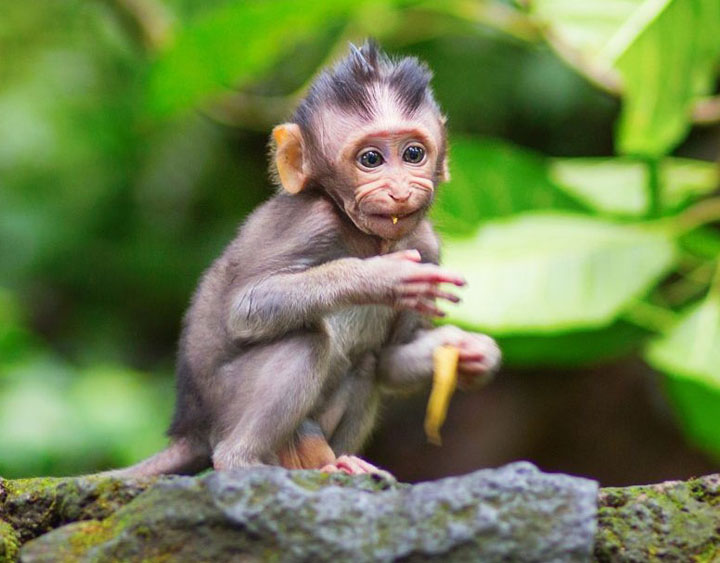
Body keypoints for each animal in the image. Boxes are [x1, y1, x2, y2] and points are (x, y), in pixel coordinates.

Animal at [107, 40, 501, 478]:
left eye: (413, 153)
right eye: (371, 160)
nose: (399, 190)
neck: (365, 237)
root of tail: (190, 429)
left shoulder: (427, 246)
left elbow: (391, 359)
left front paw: (473, 353)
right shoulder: (310, 221)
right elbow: (245, 307)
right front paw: (379, 279)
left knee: (366, 365)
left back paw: (343, 463)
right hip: (227, 403)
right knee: (305, 339)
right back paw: (242, 461)